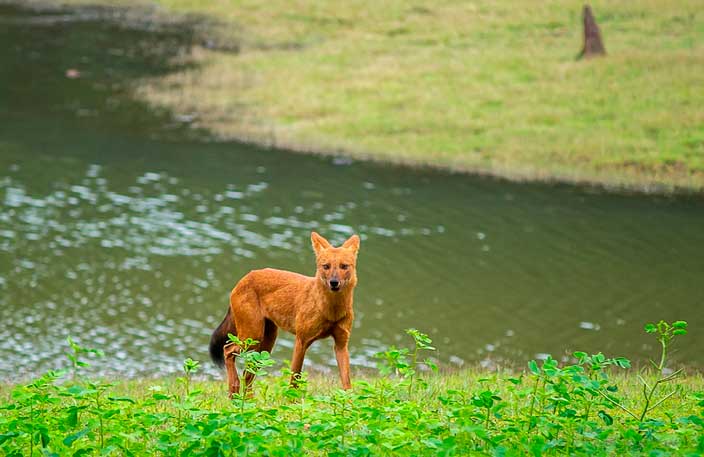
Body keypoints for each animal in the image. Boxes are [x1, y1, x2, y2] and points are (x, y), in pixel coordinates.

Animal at [209, 230, 360, 394]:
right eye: (326, 266)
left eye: (344, 266)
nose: (334, 282)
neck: (331, 311)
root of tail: (244, 278)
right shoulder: (301, 341)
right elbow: (294, 379)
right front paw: (292, 399)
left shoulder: (341, 345)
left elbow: (347, 384)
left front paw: (350, 400)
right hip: (252, 336)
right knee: (228, 350)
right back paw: (234, 389)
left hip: (265, 343)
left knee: (248, 374)